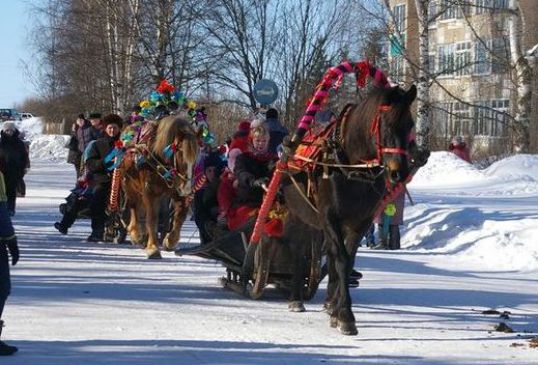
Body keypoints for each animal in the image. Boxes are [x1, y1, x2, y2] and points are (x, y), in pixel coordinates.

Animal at [280, 84, 414, 334]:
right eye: (386, 124)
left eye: (410, 124)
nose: (398, 172)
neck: (350, 166)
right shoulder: (329, 216)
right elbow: (341, 259)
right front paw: (345, 315)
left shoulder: (360, 221)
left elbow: (347, 259)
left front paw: (337, 309)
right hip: (298, 215)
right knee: (298, 250)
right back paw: (296, 298)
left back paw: (329, 301)